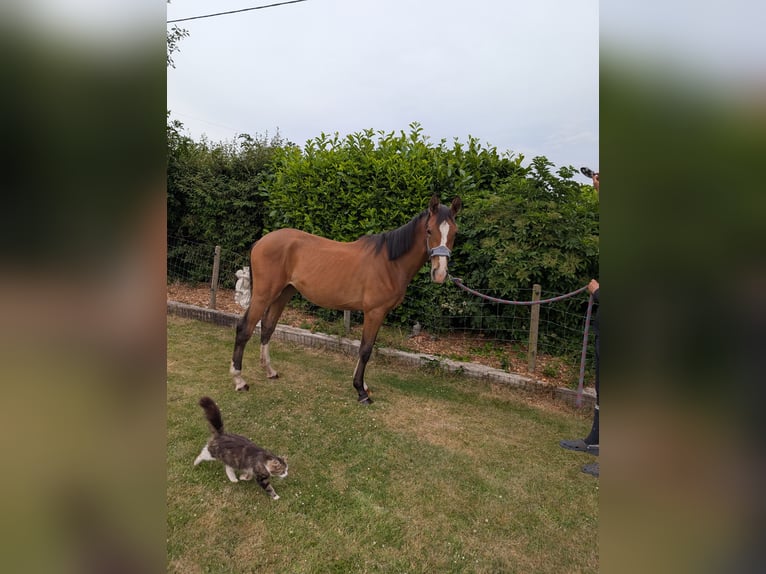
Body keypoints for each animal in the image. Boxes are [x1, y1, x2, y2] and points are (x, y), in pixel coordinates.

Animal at [229, 194, 462, 404]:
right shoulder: (374, 312)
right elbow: (366, 349)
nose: (440, 274)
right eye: (429, 230)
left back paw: (270, 371)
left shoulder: (377, 314)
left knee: (267, 327)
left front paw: (363, 386)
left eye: (454, 233)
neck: (389, 262)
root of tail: (262, 241)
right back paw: (239, 380)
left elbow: (366, 348)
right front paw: (361, 391)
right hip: (264, 294)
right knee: (245, 328)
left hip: (283, 293)